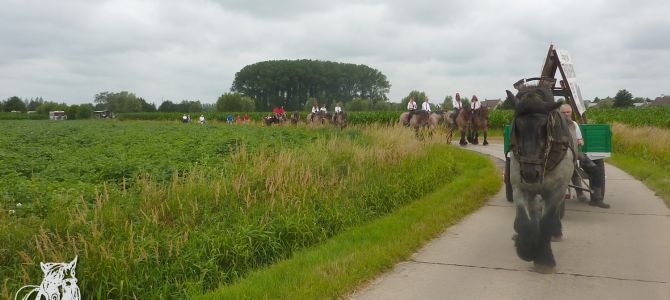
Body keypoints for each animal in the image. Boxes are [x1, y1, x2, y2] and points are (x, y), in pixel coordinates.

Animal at [510, 85, 576, 274]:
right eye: (517, 127)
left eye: (543, 127)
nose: (530, 173)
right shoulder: (519, 186)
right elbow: (523, 223)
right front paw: (526, 248)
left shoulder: (557, 189)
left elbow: (547, 222)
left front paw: (544, 259)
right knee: (534, 212)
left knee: (554, 213)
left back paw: (556, 231)